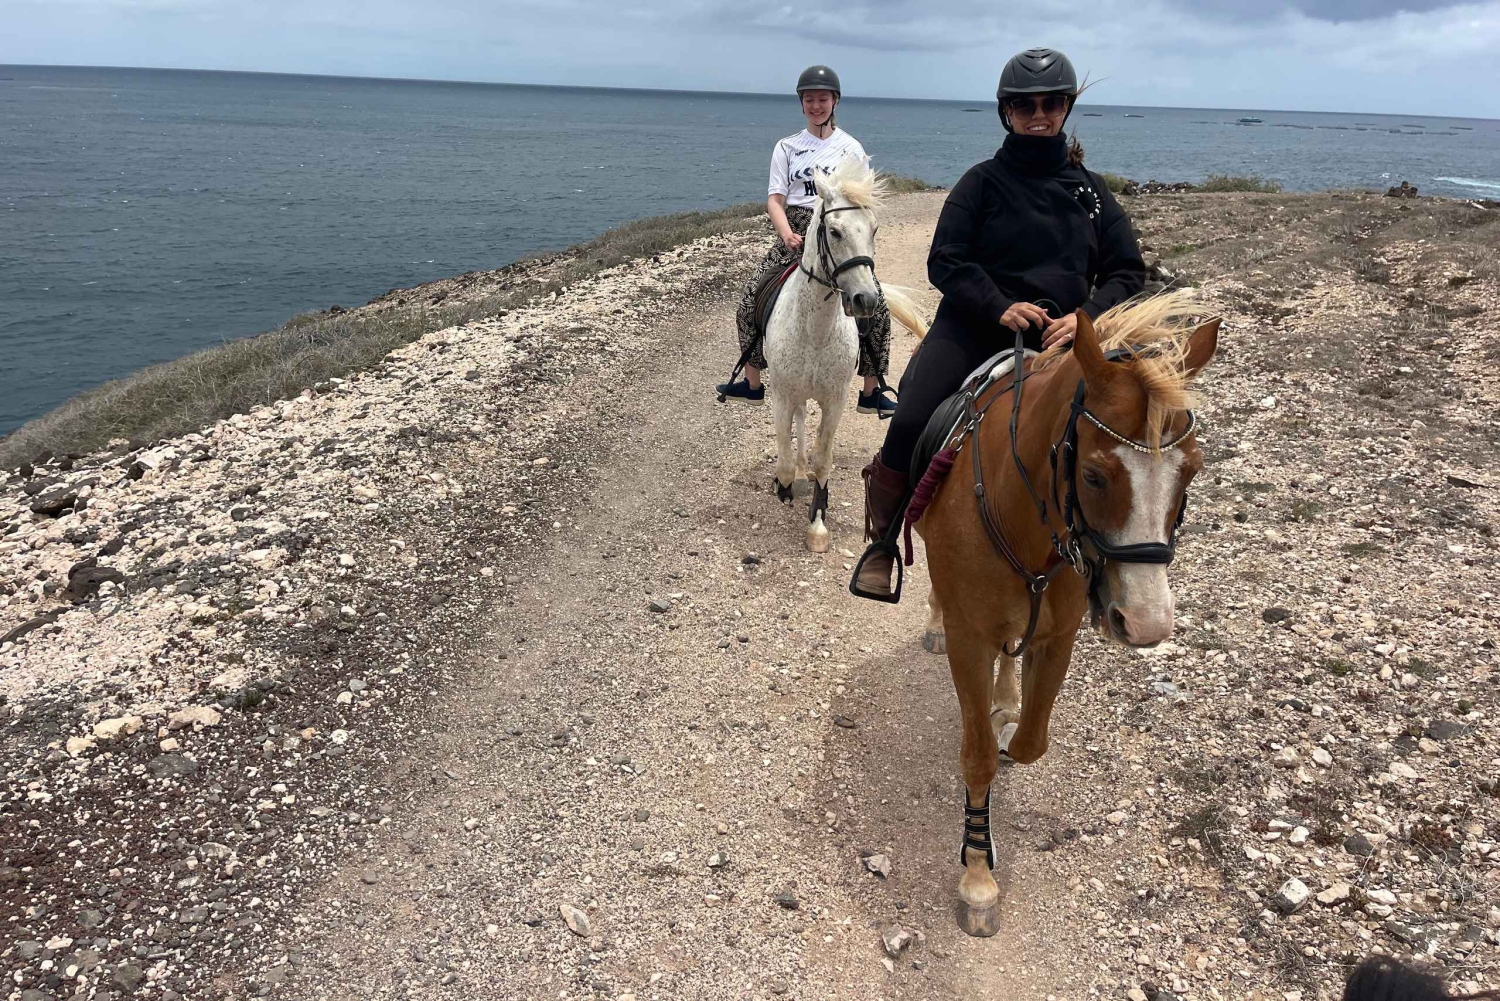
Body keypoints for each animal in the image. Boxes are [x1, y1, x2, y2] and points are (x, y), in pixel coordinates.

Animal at [761, 158, 927, 552]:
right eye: (835, 232)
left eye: (874, 229)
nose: (865, 300)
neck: (816, 331)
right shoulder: (781, 394)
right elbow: (784, 459)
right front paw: (786, 486)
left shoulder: (834, 400)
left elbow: (824, 460)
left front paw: (818, 525)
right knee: (798, 424)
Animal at [907, 291, 1219, 936]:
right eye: (1095, 475)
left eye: (1193, 469)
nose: (1146, 622)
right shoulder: (970, 639)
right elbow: (978, 756)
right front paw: (979, 880)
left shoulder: (1059, 638)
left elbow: (1028, 743)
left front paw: (1010, 731)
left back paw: (1006, 698)